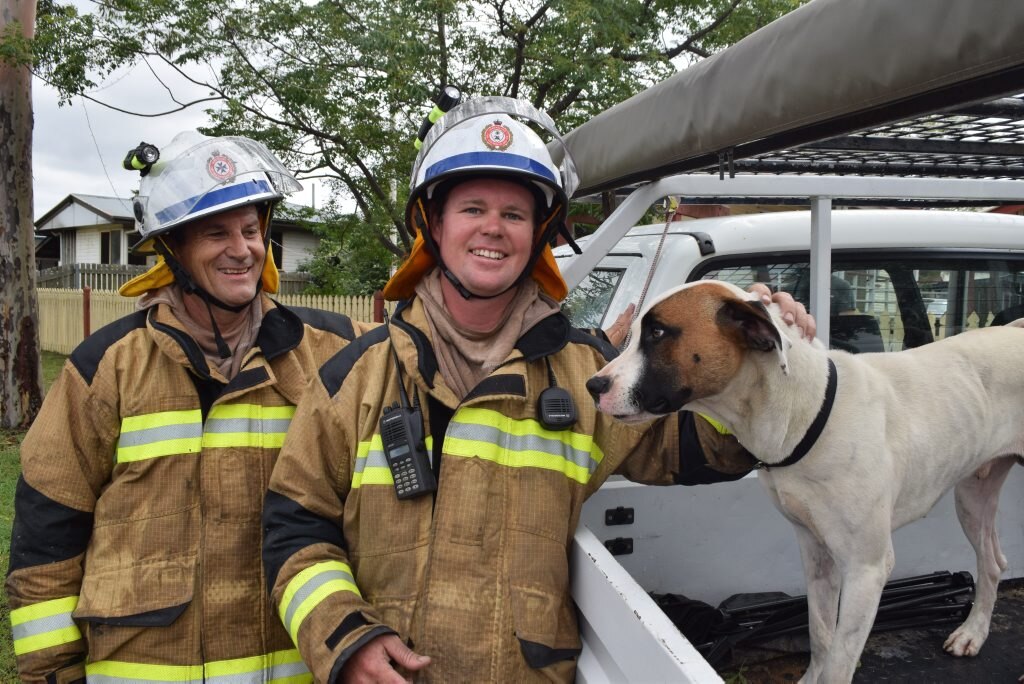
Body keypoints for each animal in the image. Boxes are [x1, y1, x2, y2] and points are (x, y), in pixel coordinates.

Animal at [585, 278, 1024, 684]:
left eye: (658, 333)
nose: (593, 385)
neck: (806, 411)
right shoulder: (814, 550)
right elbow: (820, 635)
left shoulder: (866, 570)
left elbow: (840, 661)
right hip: (972, 497)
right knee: (992, 563)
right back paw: (973, 633)